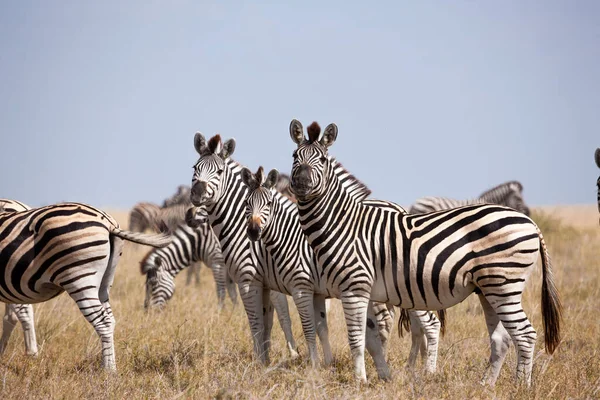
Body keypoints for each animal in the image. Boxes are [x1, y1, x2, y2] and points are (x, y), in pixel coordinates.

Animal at [0, 202, 171, 370]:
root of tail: (108, 223)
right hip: (104, 283)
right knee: (109, 319)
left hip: (79, 279)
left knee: (102, 322)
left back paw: (108, 371)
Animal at [288, 119, 564, 384]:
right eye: (294, 156)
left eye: (323, 160)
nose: (300, 183)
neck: (343, 223)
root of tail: (530, 222)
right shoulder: (361, 290)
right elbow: (370, 336)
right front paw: (379, 376)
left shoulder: (353, 287)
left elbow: (356, 338)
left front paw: (359, 381)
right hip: (489, 289)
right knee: (501, 338)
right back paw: (486, 385)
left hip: (504, 284)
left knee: (525, 335)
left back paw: (520, 386)